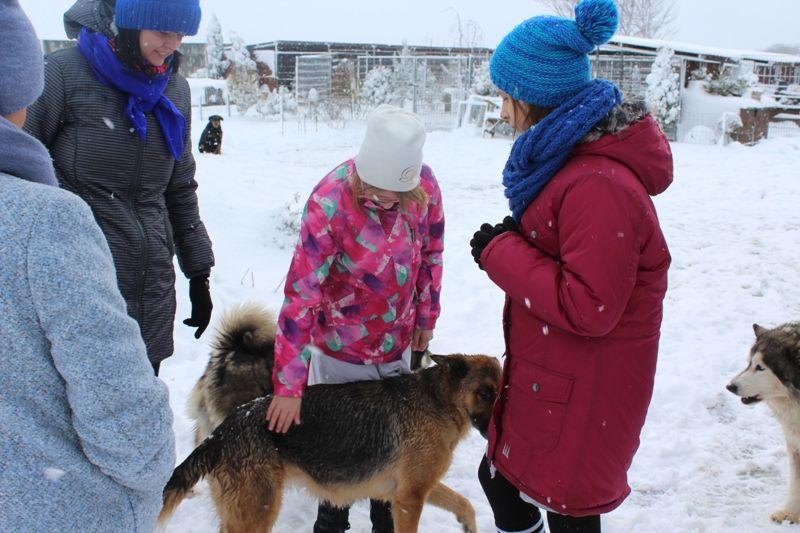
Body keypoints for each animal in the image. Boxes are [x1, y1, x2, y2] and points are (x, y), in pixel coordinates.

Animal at [159, 354, 504, 532]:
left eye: (502, 390)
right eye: (485, 392)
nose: (501, 431)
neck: (438, 401)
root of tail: (221, 433)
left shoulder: (411, 490)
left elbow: (465, 505)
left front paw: (468, 526)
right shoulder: (410, 498)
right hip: (259, 512)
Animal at [728, 322, 800, 520]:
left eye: (761, 367)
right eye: (749, 363)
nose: (729, 386)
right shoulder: (794, 442)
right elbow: (796, 481)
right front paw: (790, 513)